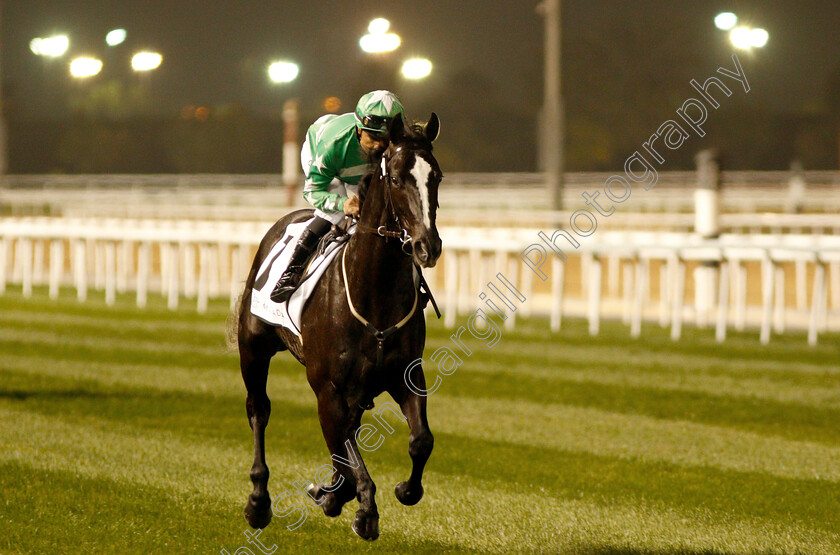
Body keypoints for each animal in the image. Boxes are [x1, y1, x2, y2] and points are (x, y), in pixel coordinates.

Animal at [233, 111, 442, 540]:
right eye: (397, 179)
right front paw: (363, 510)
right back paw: (259, 502)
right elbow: (347, 455)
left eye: (438, 177)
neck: (373, 295)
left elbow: (420, 441)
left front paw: (402, 489)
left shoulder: (405, 374)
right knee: (259, 410)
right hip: (254, 348)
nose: (428, 246)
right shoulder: (326, 387)